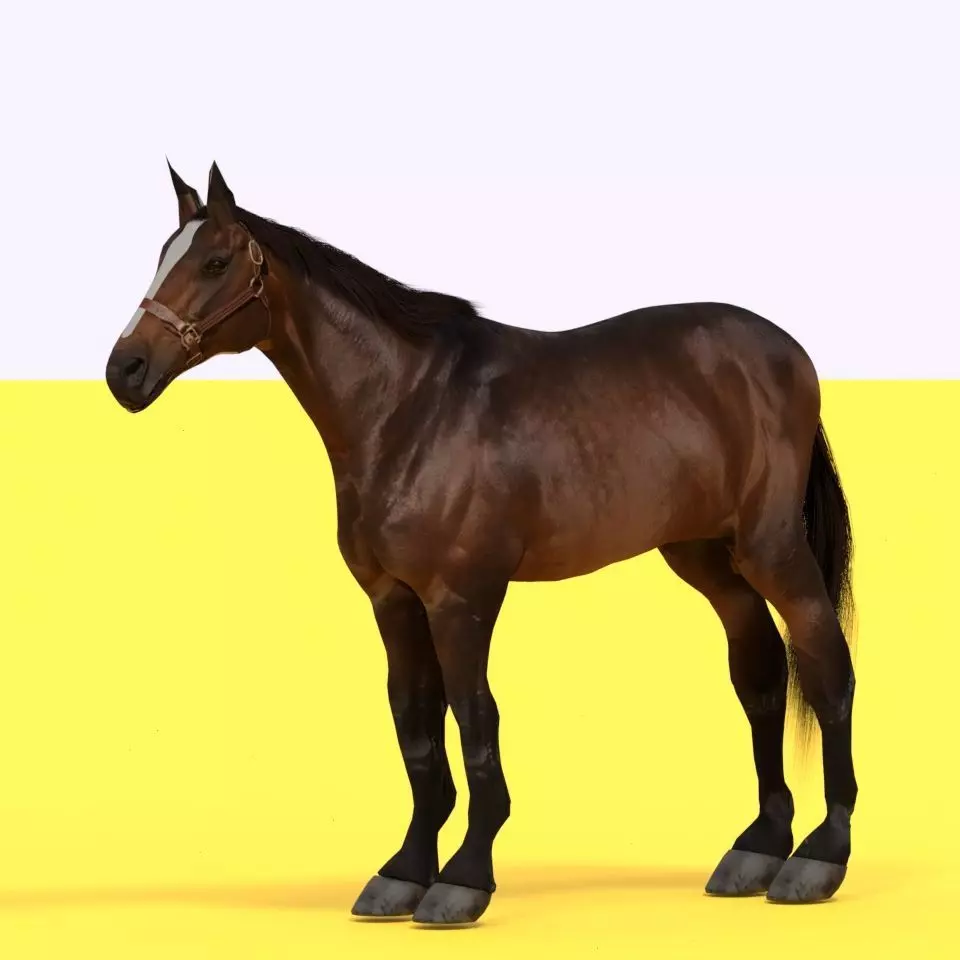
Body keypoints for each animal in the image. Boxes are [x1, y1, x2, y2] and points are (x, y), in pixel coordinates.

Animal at [104, 161, 858, 926]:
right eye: (163, 257)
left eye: (215, 262)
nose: (125, 370)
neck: (408, 407)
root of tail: (788, 354)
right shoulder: (393, 599)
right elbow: (414, 723)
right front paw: (404, 871)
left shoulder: (460, 598)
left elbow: (473, 720)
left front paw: (464, 876)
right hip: (708, 559)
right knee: (762, 676)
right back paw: (758, 848)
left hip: (770, 549)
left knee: (827, 667)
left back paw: (818, 858)